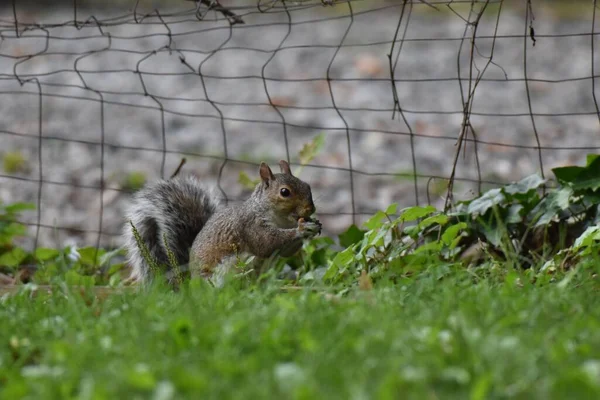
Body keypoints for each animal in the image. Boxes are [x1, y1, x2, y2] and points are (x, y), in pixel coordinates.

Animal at [121, 158, 324, 286]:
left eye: (307, 185)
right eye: (284, 192)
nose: (310, 209)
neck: (280, 220)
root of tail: (190, 283)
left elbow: (285, 251)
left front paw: (314, 226)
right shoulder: (250, 226)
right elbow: (266, 243)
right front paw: (301, 229)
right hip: (227, 269)